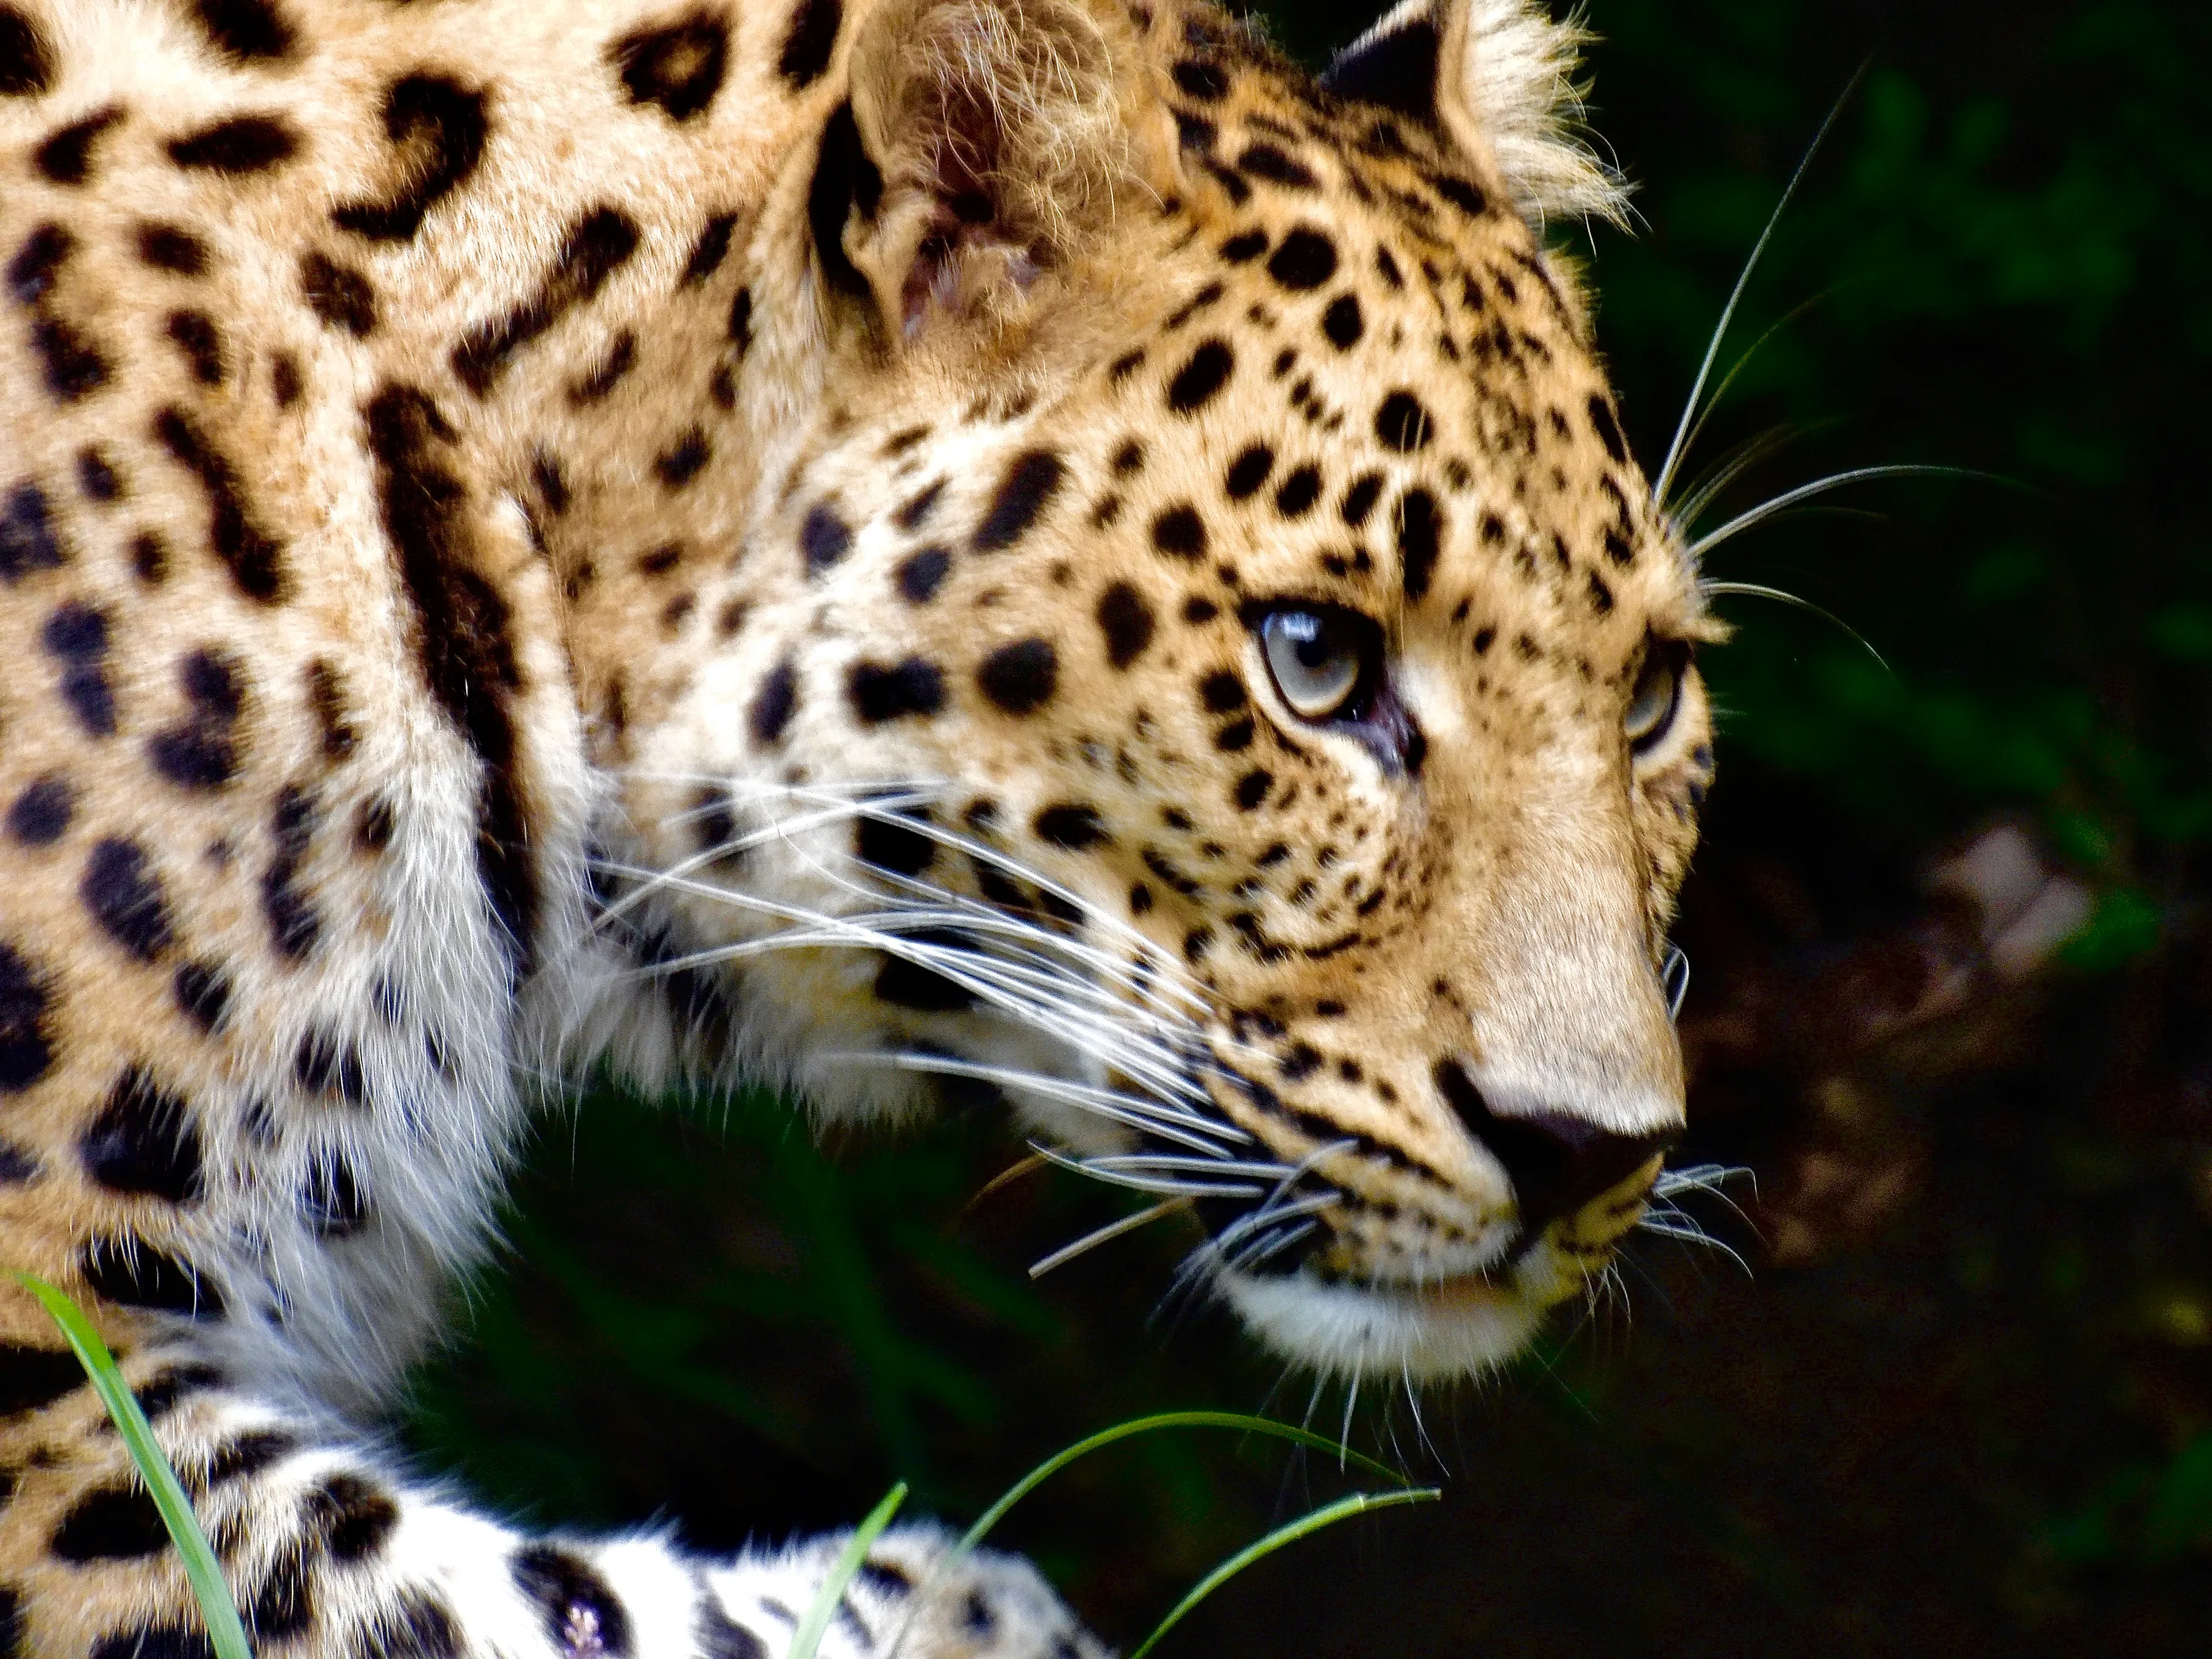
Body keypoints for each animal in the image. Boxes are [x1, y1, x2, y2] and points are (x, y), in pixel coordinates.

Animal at [0, 0, 1720, 1653]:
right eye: (1313, 660)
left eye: (1649, 694)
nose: (1589, 1152)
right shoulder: (43, 1372)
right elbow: (463, 1610)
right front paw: (981, 1610)